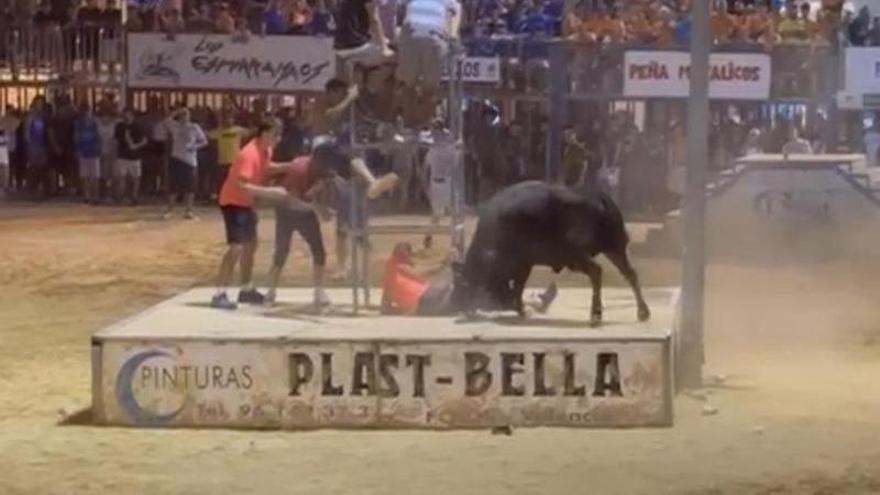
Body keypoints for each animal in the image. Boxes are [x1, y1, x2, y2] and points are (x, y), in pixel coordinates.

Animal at [458, 181, 648, 326]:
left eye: (468, 279)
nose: (464, 308)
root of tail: (600, 199)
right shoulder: (525, 263)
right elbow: (519, 286)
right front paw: (521, 309)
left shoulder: (519, 263)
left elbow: (516, 286)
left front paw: (520, 309)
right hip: (616, 248)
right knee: (631, 274)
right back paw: (642, 312)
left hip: (578, 255)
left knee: (596, 271)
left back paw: (595, 315)